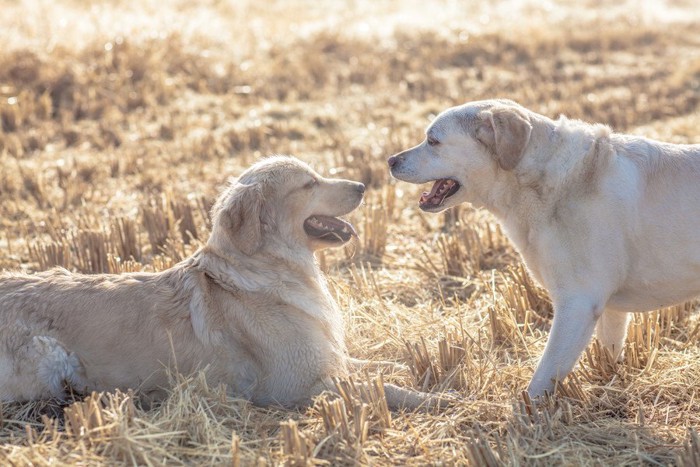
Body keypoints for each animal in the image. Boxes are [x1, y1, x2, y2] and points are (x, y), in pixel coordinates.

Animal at [1, 156, 438, 410]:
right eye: (309, 183)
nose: (363, 186)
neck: (271, 270)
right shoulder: (299, 384)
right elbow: (382, 389)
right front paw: (438, 399)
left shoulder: (327, 358)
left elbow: (378, 367)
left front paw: (420, 368)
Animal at [388, 99, 700, 398]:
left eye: (433, 141)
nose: (390, 160)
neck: (540, 183)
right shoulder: (608, 308)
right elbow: (609, 352)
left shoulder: (578, 303)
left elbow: (540, 381)